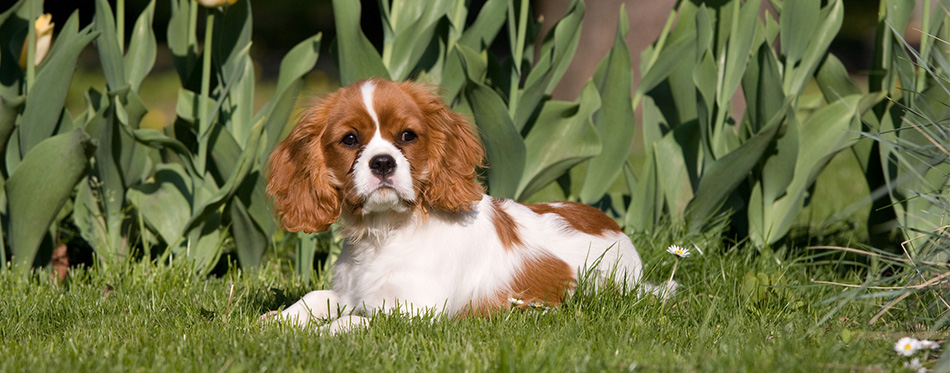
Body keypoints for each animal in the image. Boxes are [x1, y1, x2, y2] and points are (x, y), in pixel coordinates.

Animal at [268, 77, 652, 332]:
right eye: (349, 139)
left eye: (407, 135)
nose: (382, 163)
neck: (386, 230)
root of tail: (610, 223)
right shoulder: (347, 292)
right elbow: (315, 297)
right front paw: (276, 321)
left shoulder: (416, 309)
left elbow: (353, 320)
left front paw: (318, 333)